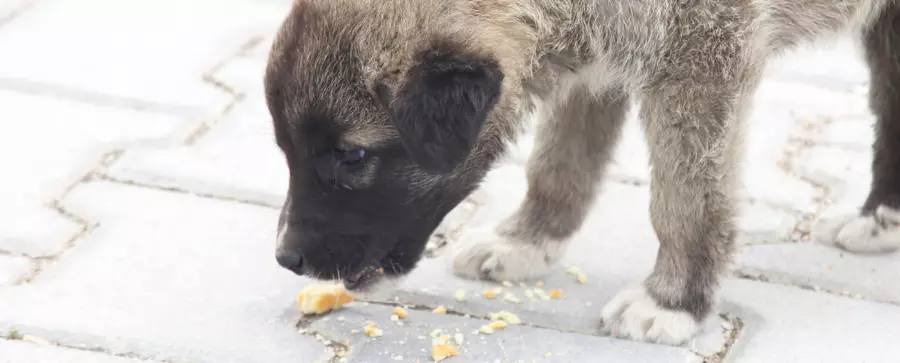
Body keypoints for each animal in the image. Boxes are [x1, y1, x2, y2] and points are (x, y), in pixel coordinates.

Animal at [264, 0, 900, 346]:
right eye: (286, 152)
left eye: (352, 158)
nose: (286, 259)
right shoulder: (597, 62)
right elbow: (560, 160)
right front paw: (526, 240)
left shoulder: (704, 59)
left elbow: (685, 200)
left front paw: (674, 300)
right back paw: (881, 217)